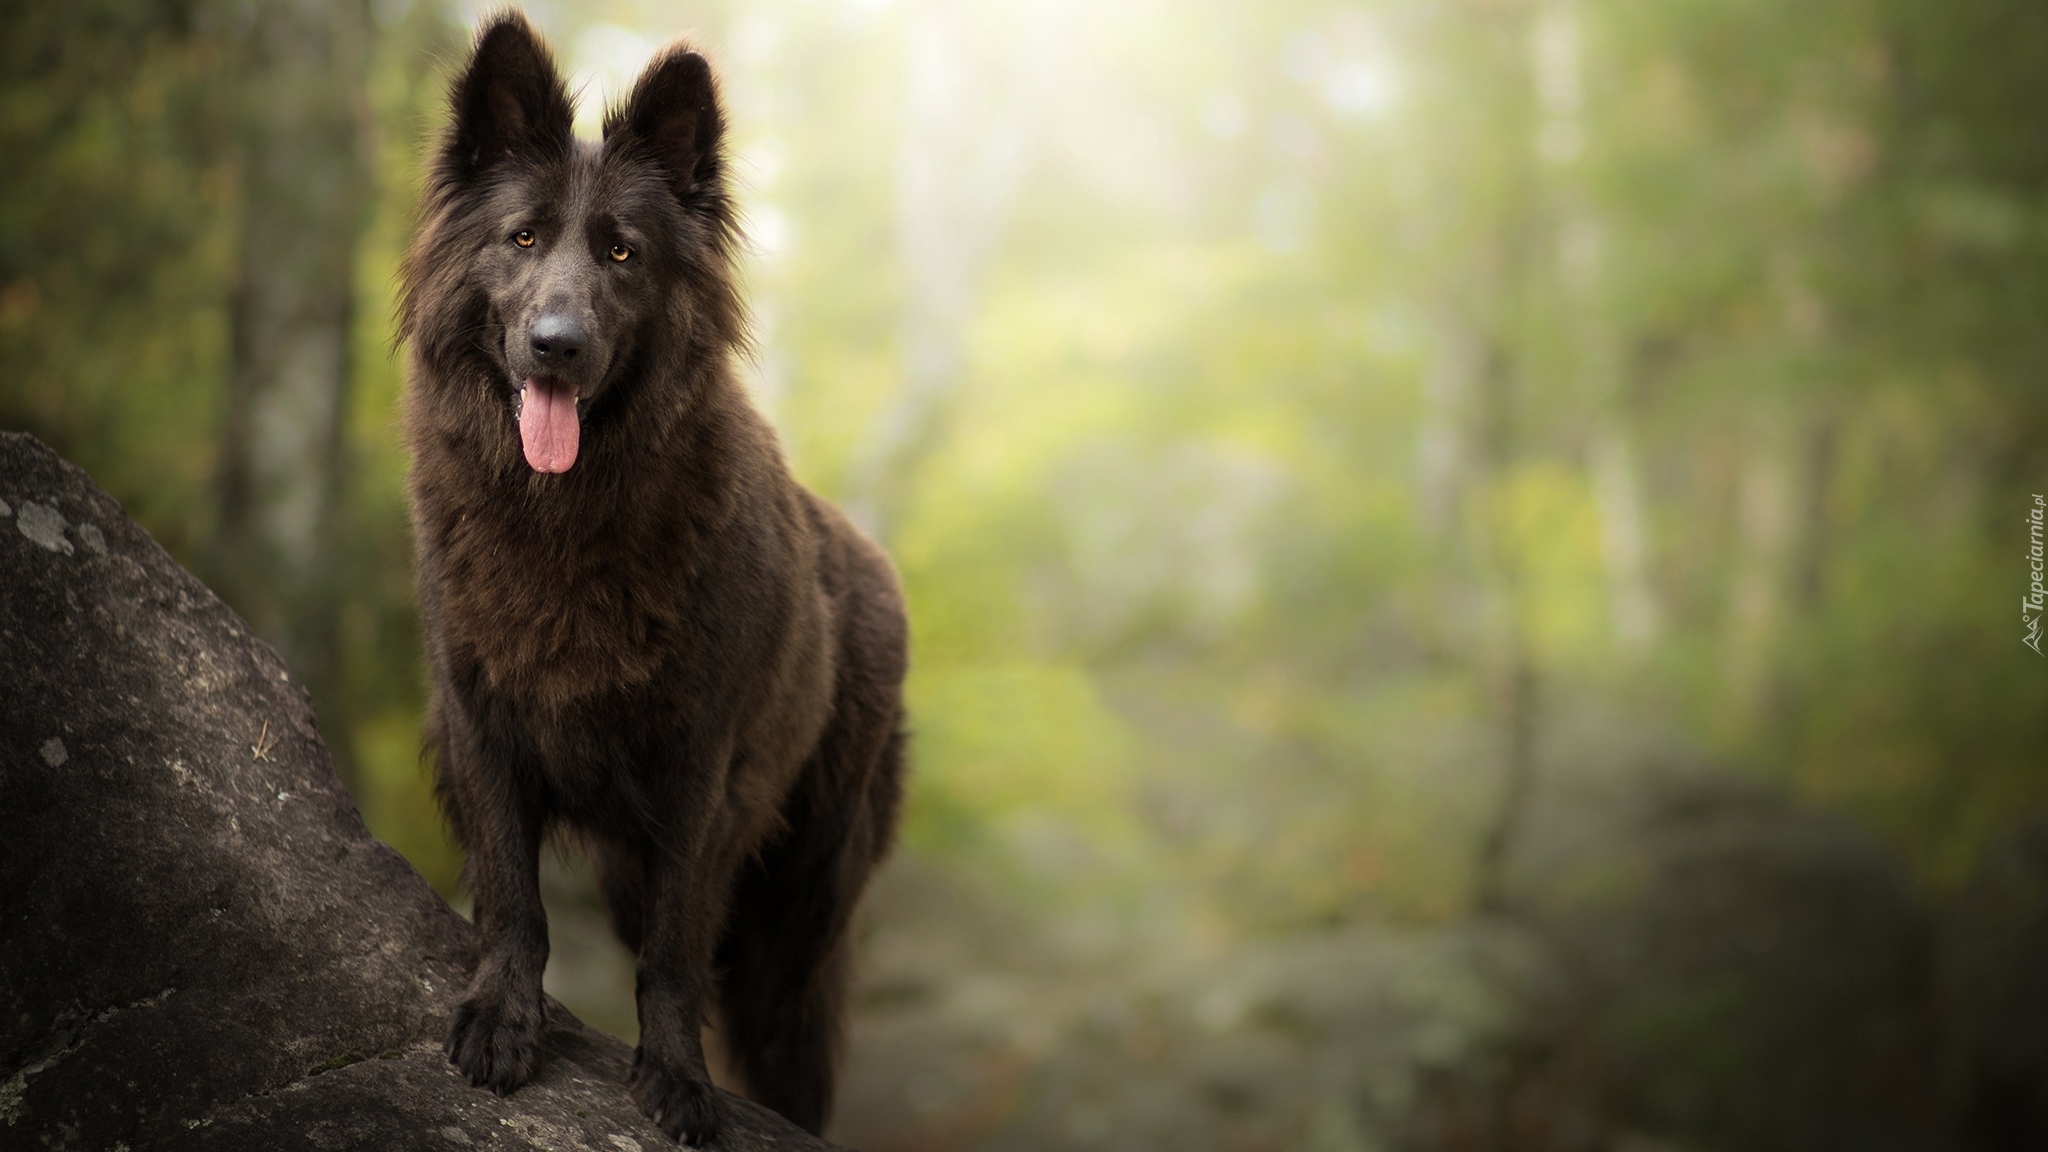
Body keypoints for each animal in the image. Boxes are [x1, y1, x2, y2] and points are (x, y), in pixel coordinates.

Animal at [397, 15, 905, 1139]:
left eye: (622, 252)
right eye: (523, 239)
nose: (557, 346)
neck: (564, 520)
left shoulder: (697, 775)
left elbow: (676, 952)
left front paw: (674, 1076)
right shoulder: (480, 724)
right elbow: (512, 896)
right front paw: (503, 1017)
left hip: (799, 916)